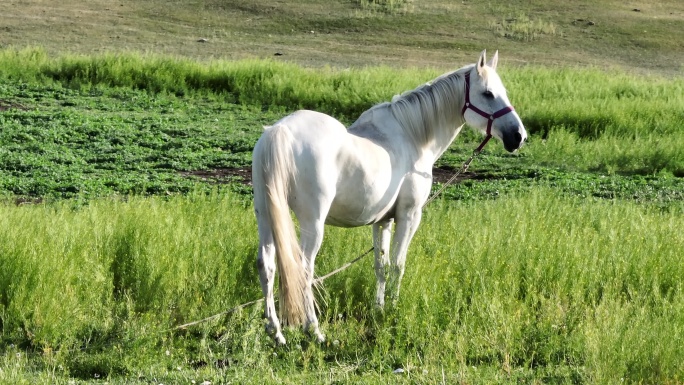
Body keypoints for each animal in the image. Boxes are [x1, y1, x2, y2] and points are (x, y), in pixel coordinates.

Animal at [254, 48, 528, 342]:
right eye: (488, 93)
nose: (518, 136)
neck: (412, 136)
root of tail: (279, 131)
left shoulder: (382, 221)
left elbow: (381, 266)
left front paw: (379, 308)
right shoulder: (409, 216)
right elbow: (398, 263)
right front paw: (394, 309)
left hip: (266, 217)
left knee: (267, 265)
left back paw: (276, 332)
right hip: (312, 223)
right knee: (304, 269)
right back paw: (314, 330)